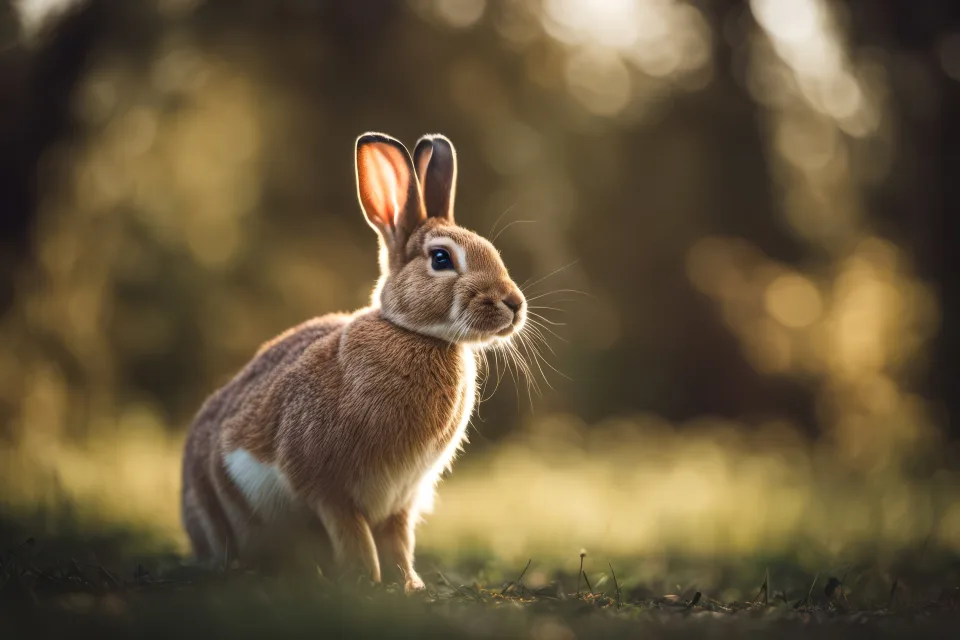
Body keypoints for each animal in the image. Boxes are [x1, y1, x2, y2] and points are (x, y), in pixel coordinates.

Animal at [180, 132, 526, 593]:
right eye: (441, 259)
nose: (514, 304)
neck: (418, 335)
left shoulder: (402, 499)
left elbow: (399, 540)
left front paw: (409, 585)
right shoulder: (328, 488)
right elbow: (354, 534)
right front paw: (366, 581)